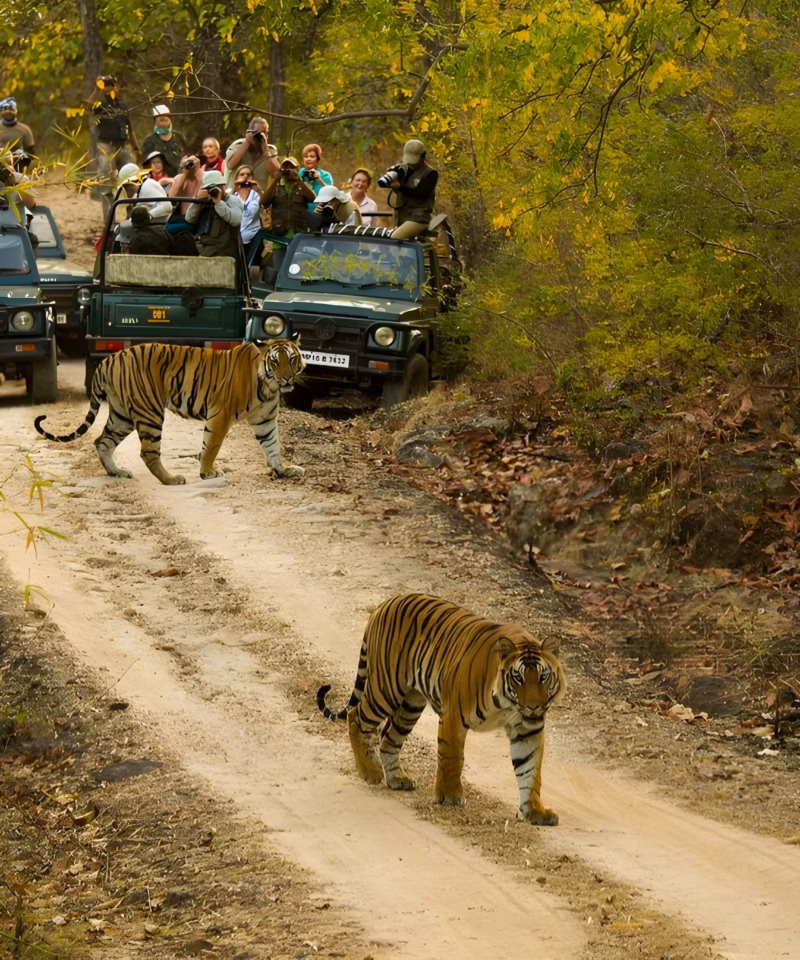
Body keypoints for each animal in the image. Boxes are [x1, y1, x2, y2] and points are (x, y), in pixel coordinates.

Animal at [34, 340, 305, 485]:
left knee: (102, 441)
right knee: (148, 453)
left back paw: (116, 472)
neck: (269, 387)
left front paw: (284, 470)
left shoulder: (265, 420)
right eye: (275, 361)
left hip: (122, 415)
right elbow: (211, 446)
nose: (286, 378)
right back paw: (171, 479)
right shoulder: (220, 415)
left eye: (292, 359)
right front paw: (207, 473)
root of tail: (107, 360)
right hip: (150, 412)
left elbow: (272, 445)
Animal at [318, 593, 566, 825]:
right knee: (356, 716)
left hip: (411, 704)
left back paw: (397, 778)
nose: (534, 707)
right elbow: (452, 757)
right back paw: (369, 771)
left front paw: (535, 811)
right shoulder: (453, 716)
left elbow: (530, 771)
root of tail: (386, 602)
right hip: (386, 689)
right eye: (518, 678)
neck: (507, 705)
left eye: (543, 677)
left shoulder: (527, 731)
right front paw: (450, 796)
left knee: (388, 738)